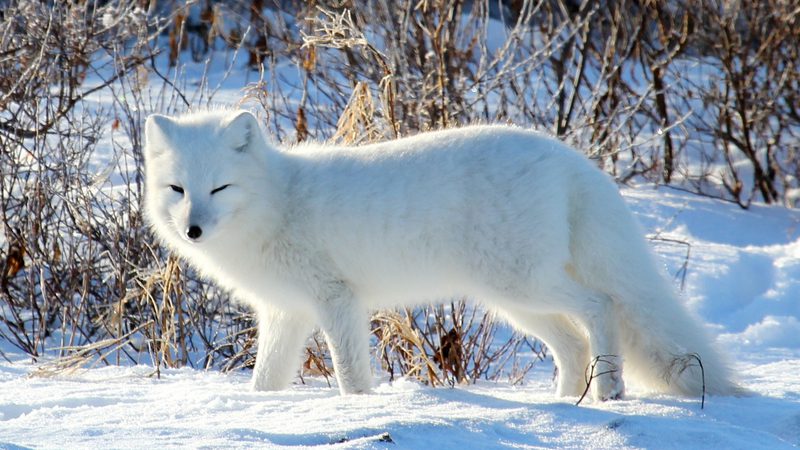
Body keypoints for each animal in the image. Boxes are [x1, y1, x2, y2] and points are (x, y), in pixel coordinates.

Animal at [142, 109, 736, 400]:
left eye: (219, 188)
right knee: (572, 342)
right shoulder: (285, 313)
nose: (193, 230)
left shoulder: (336, 301)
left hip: (523, 286)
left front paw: (358, 409)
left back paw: (609, 390)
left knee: (602, 306)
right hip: (514, 301)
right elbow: (265, 381)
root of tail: (570, 159)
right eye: (178, 190)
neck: (278, 202)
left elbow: (350, 373)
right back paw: (562, 405)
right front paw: (259, 410)